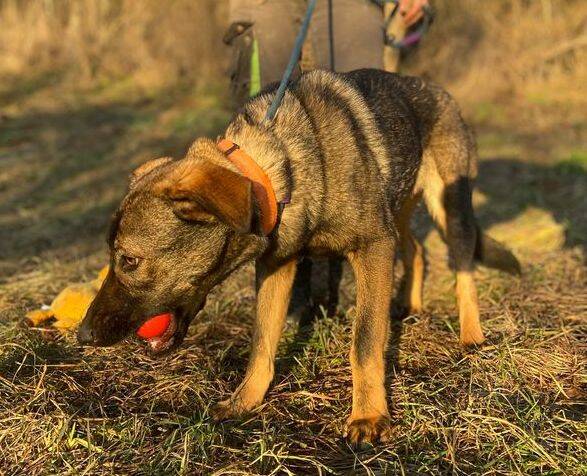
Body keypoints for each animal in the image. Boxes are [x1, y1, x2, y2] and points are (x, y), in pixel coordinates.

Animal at [78, 69, 520, 444]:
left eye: (129, 261)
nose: (82, 336)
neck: (276, 171)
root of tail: (435, 87)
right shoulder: (277, 265)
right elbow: (262, 340)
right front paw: (246, 400)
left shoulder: (373, 246)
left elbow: (364, 340)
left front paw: (368, 415)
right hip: (399, 208)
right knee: (417, 249)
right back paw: (409, 306)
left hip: (448, 207)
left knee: (463, 267)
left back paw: (471, 336)